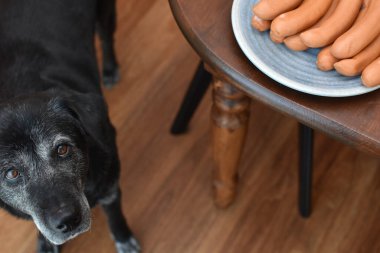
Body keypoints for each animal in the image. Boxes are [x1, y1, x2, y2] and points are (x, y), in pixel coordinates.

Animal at [0, 0, 141, 253]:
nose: (67, 221)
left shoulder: (110, 184)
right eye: (12, 173)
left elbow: (114, 213)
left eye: (63, 149)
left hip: (105, 13)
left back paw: (110, 68)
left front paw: (123, 237)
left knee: (106, 37)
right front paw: (45, 244)